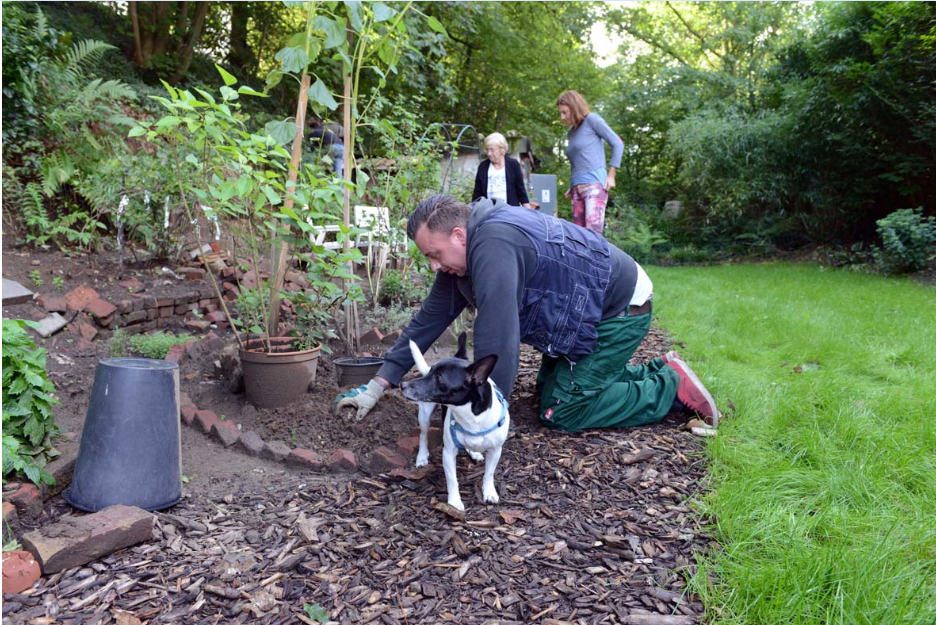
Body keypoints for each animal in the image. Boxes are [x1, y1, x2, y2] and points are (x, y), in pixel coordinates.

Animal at [398, 334, 508, 510]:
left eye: (439, 378)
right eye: (430, 372)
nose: (403, 385)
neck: (471, 418)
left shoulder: (495, 451)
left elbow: (489, 474)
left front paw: (489, 492)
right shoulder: (448, 453)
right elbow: (452, 480)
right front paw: (455, 503)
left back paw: (474, 452)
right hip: (425, 414)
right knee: (423, 435)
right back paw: (421, 457)